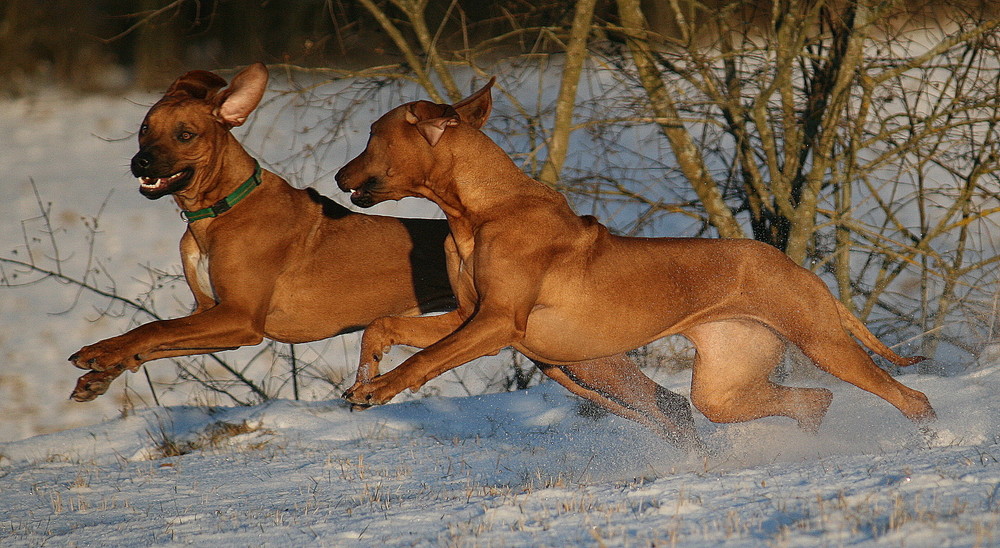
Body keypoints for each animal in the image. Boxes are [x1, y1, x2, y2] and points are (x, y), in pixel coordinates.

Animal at [68, 65, 704, 450]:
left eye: (184, 135)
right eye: (143, 129)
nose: (140, 163)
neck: (220, 208)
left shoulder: (239, 321)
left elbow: (152, 330)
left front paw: (98, 355)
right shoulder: (210, 313)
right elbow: (153, 338)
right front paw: (100, 375)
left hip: (583, 355)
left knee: (662, 398)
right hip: (557, 358)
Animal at [336, 77, 936, 438]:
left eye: (371, 135)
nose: (338, 175)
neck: (481, 210)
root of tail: (792, 264)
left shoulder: (497, 322)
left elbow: (425, 359)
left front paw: (381, 389)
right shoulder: (467, 316)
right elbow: (384, 326)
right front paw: (365, 376)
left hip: (823, 342)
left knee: (909, 398)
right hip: (724, 387)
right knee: (809, 401)